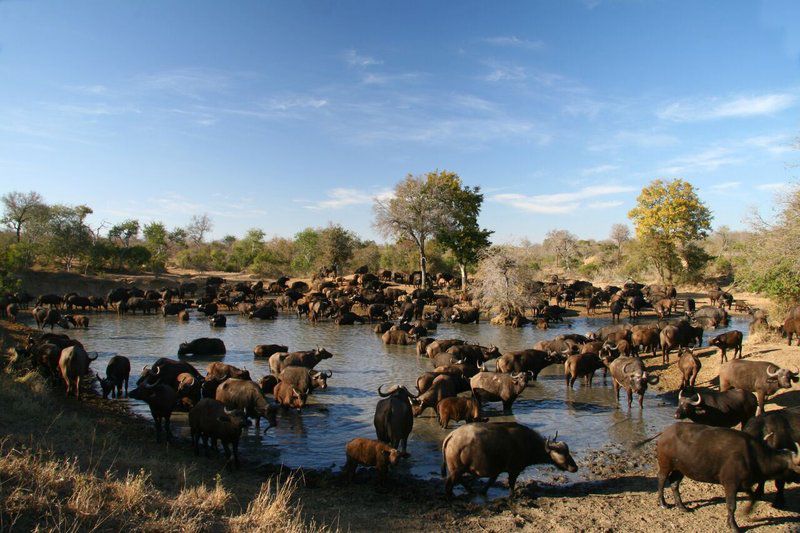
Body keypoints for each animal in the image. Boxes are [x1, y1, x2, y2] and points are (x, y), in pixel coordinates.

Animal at [440, 422, 580, 496]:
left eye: (568, 452)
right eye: (563, 454)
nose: (575, 467)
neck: (526, 443)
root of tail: (451, 435)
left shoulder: (496, 470)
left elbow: (490, 482)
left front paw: (483, 491)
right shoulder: (514, 470)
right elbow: (511, 484)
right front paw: (513, 495)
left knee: (459, 480)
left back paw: (470, 490)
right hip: (456, 469)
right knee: (449, 483)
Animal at [656, 422, 800, 528]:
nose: (798, 479)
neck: (754, 457)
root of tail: (666, 432)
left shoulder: (745, 484)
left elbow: (753, 497)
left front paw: (747, 512)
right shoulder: (731, 485)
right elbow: (731, 506)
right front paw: (733, 525)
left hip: (680, 469)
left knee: (674, 483)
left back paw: (682, 506)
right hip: (665, 465)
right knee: (662, 480)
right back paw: (663, 503)